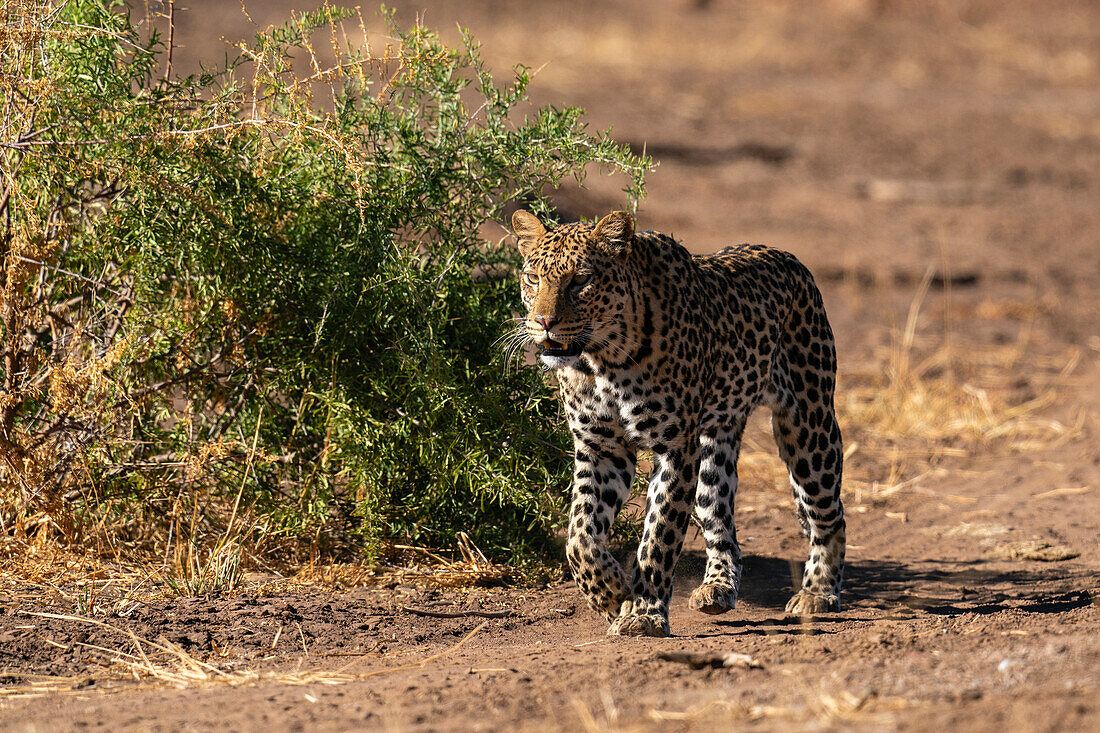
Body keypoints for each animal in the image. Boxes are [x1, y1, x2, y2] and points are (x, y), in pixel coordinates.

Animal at [510, 206, 844, 633]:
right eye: (533, 278)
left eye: (581, 280)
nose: (543, 321)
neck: (602, 361)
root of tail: (788, 257)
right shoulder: (602, 448)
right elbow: (579, 535)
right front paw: (611, 594)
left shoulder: (673, 448)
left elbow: (659, 534)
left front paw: (644, 613)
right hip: (715, 441)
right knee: (720, 517)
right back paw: (717, 588)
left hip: (807, 425)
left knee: (829, 514)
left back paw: (818, 593)